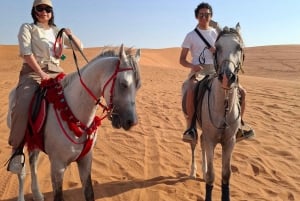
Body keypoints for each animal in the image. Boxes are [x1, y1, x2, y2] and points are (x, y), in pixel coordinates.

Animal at [6, 44, 141, 200]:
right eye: (124, 84)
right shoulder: (57, 166)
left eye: (138, 86)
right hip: (19, 138)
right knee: (20, 170)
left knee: (33, 163)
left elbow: (89, 192)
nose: (132, 121)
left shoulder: (86, 160)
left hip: (34, 139)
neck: (73, 115)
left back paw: (37, 194)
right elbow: (58, 196)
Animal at [189, 24, 245, 201]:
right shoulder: (211, 140)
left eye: (239, 47)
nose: (227, 77)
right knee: (194, 143)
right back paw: (193, 171)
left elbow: (226, 175)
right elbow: (212, 175)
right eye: (217, 48)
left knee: (200, 142)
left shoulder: (230, 141)